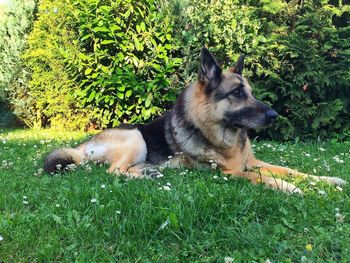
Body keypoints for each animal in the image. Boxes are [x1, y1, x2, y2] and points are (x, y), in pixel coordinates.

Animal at [44, 47, 348, 195]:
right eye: (237, 93)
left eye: (250, 92)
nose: (275, 116)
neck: (225, 136)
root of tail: (82, 147)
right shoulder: (228, 173)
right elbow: (258, 177)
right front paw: (288, 188)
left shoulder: (253, 162)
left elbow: (290, 169)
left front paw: (327, 180)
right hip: (135, 137)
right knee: (113, 171)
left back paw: (149, 173)